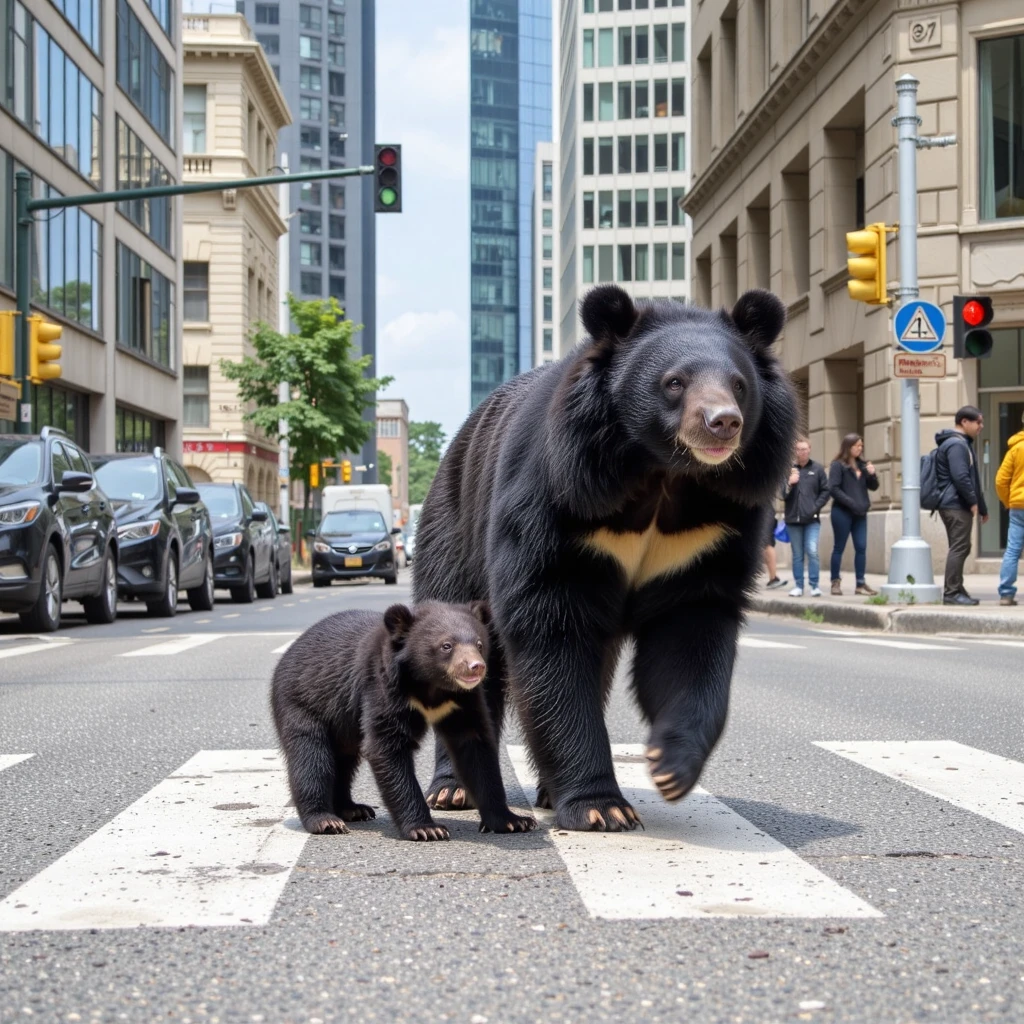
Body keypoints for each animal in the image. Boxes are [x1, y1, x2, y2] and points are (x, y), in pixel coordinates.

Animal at [270, 601, 537, 841]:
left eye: (479, 644)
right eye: (446, 646)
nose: (476, 667)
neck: (431, 686)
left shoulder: (463, 701)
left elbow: (476, 750)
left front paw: (514, 821)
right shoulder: (382, 687)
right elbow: (387, 748)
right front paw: (427, 829)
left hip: (342, 725)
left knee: (344, 762)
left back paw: (352, 809)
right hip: (302, 704)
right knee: (311, 757)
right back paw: (325, 820)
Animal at [412, 286, 798, 832]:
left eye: (740, 385)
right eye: (674, 382)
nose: (723, 422)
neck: (664, 474)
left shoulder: (710, 535)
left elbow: (690, 638)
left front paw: (669, 766)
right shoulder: (558, 501)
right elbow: (550, 632)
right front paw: (602, 807)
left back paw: (544, 790)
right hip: (454, 531)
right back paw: (453, 790)